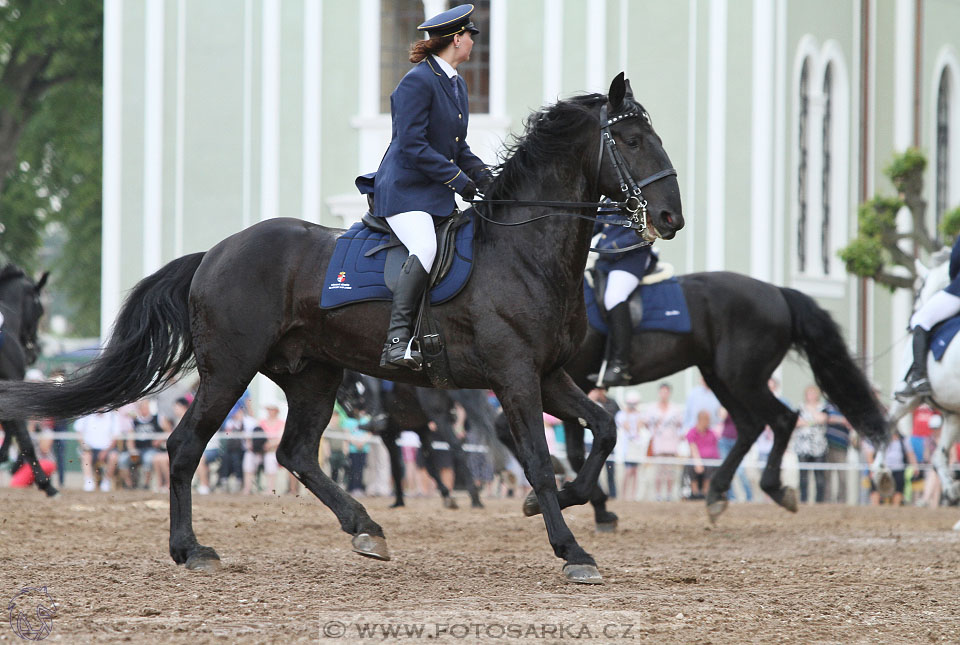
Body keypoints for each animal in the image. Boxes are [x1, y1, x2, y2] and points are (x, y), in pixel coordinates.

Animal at [336, 372, 502, 508]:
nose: (350, 411)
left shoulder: (388, 434)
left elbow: (396, 467)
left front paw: (398, 502)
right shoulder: (422, 430)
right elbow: (430, 466)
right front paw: (446, 495)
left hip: (439, 417)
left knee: (457, 448)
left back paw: (475, 497)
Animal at [516, 270, 884, 524]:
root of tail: (776, 291)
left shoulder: (566, 380)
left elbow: (575, 449)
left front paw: (594, 506)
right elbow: (574, 449)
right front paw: (593, 504)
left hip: (743, 378)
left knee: (781, 418)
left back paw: (773, 488)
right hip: (718, 376)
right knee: (749, 427)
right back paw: (718, 491)